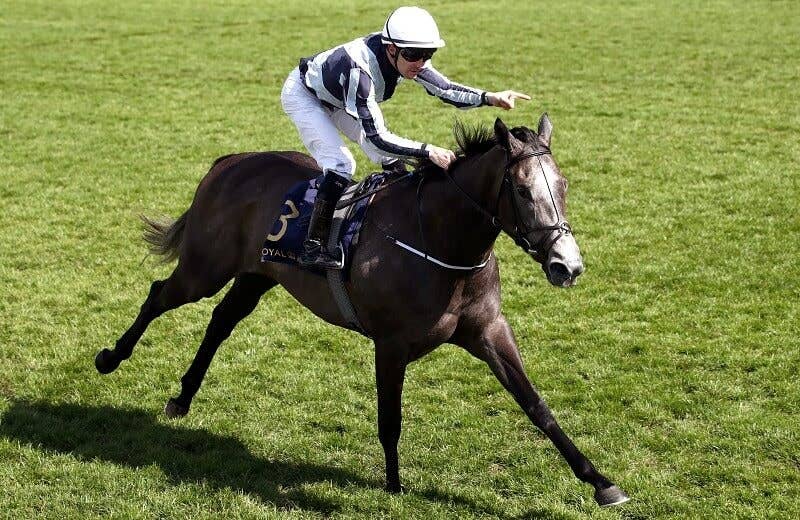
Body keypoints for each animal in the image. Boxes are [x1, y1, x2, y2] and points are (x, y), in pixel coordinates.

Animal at [94, 114, 630, 507]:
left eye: (563, 185)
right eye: (521, 190)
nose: (567, 266)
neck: (439, 240)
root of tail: (229, 163)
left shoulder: (488, 330)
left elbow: (536, 405)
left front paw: (601, 482)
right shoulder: (390, 344)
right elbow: (390, 417)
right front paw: (393, 485)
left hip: (256, 275)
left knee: (220, 322)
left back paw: (182, 398)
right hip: (204, 269)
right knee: (159, 295)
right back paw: (110, 358)